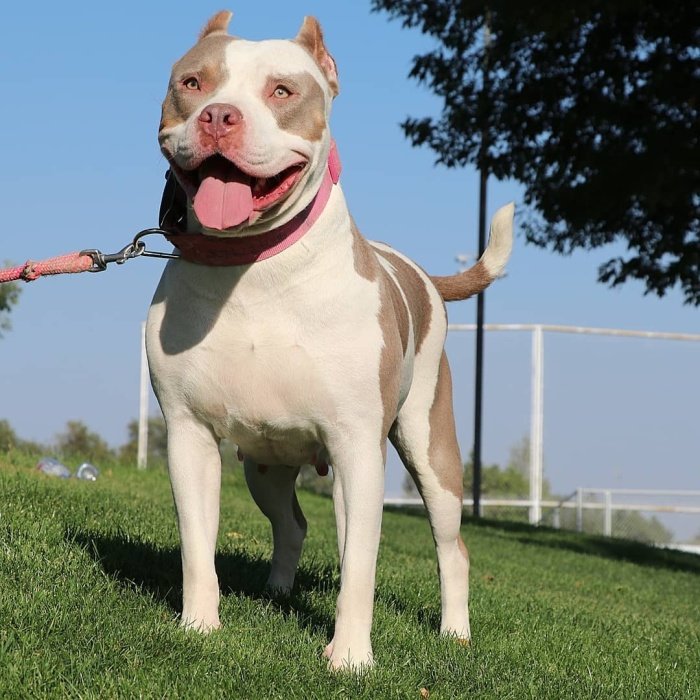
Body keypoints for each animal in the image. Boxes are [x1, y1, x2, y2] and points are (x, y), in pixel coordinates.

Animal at [146, 11, 513, 671]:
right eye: (192, 83)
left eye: (281, 91)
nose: (218, 116)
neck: (255, 265)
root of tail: (422, 274)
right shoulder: (189, 434)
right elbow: (196, 545)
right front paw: (198, 627)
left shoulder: (356, 446)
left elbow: (362, 568)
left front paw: (351, 659)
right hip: (266, 464)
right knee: (293, 524)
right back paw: (277, 590)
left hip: (429, 453)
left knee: (448, 547)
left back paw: (454, 632)